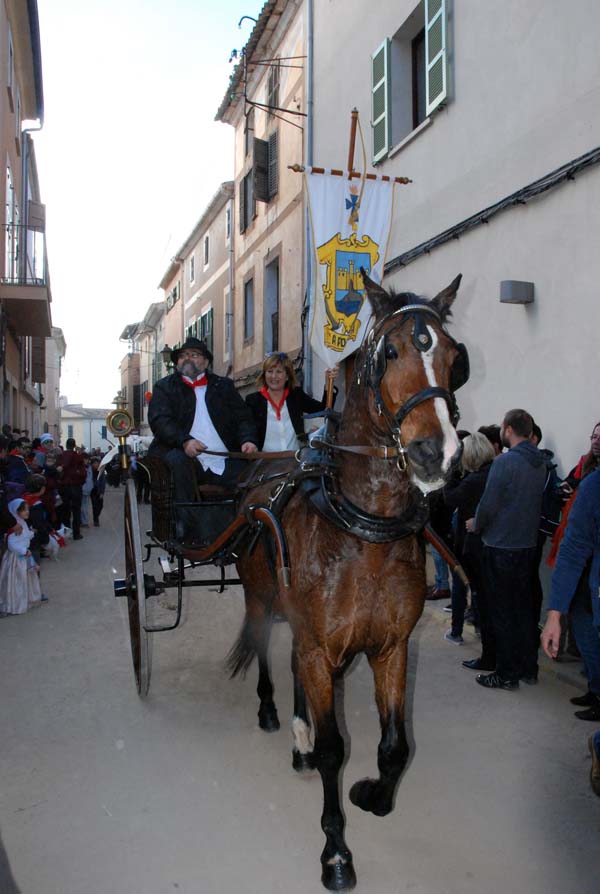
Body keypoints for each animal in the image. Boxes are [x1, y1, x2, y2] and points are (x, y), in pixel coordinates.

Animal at [228, 271, 468, 891]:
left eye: (454, 358)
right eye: (390, 352)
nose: (438, 454)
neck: (366, 532)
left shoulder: (390, 647)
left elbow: (395, 744)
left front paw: (375, 795)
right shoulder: (320, 646)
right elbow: (337, 749)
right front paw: (335, 851)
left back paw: (299, 740)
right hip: (260, 597)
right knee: (265, 649)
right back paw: (273, 715)